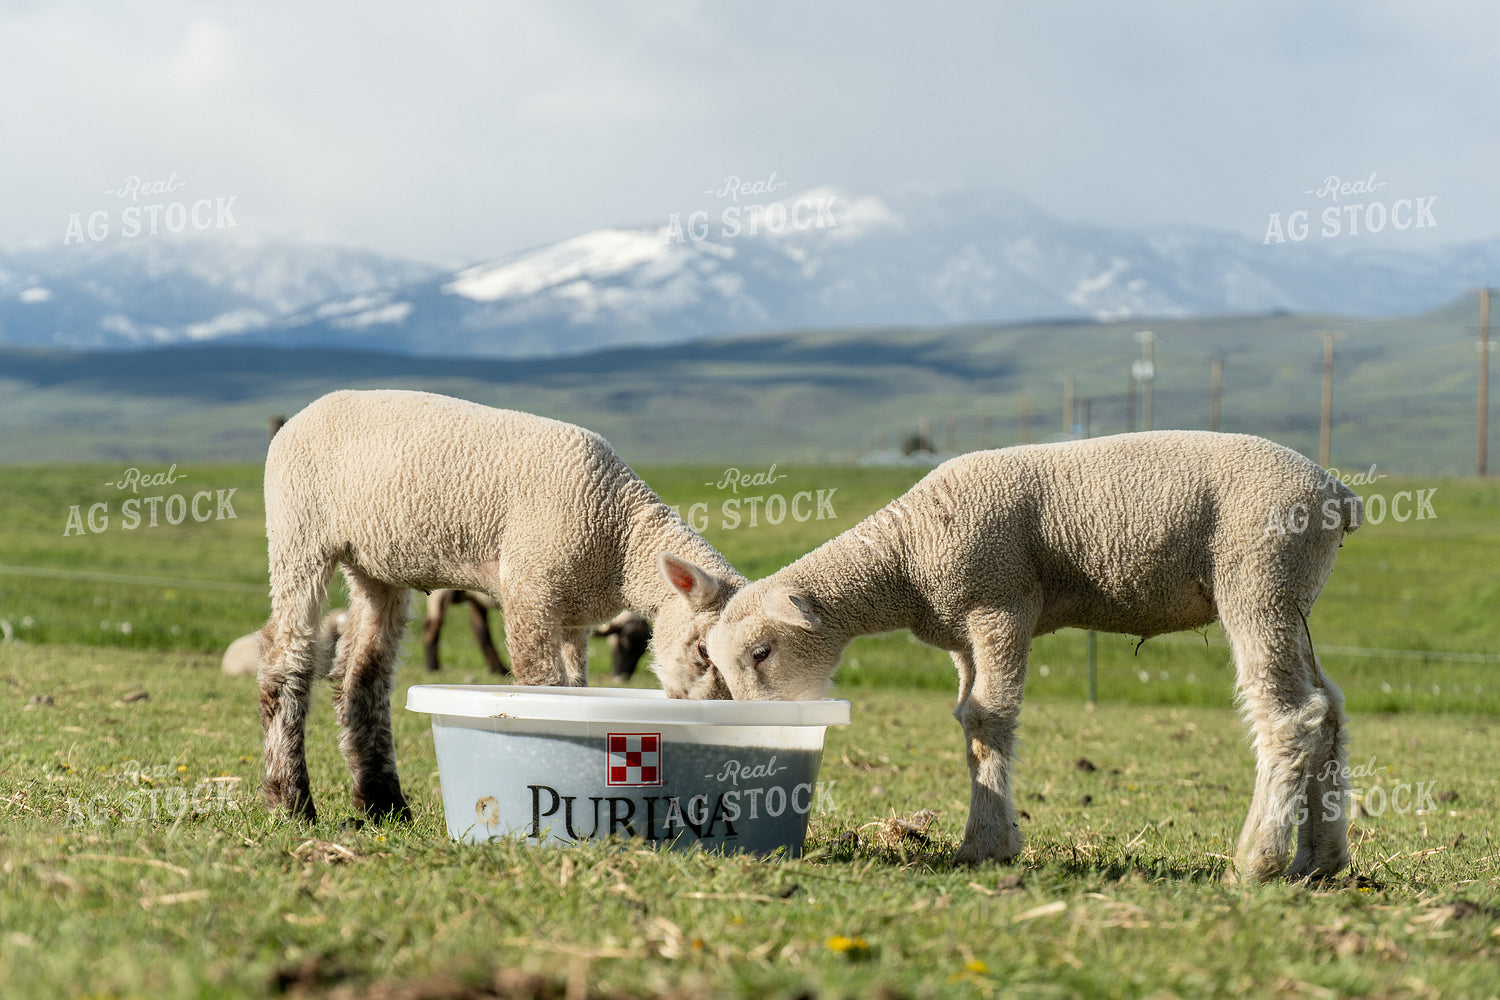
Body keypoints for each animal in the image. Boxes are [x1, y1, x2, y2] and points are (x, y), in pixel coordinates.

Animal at [258, 389, 743, 823]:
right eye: (704, 650)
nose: (720, 715)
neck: (620, 538)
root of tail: (304, 412)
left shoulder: (572, 616)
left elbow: (576, 687)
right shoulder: (531, 587)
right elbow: (544, 686)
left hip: (374, 565)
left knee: (361, 675)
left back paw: (381, 804)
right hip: (299, 534)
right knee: (285, 658)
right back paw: (291, 801)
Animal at [701, 430, 1362, 883]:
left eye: (762, 652)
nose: (755, 728)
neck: (905, 557)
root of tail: (1338, 494)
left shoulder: (999, 604)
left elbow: (990, 720)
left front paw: (987, 845)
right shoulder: (963, 636)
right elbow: (970, 724)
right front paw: (985, 838)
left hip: (1259, 577)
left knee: (1290, 715)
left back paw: (1257, 859)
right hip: (1293, 600)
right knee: (1328, 710)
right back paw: (1318, 860)